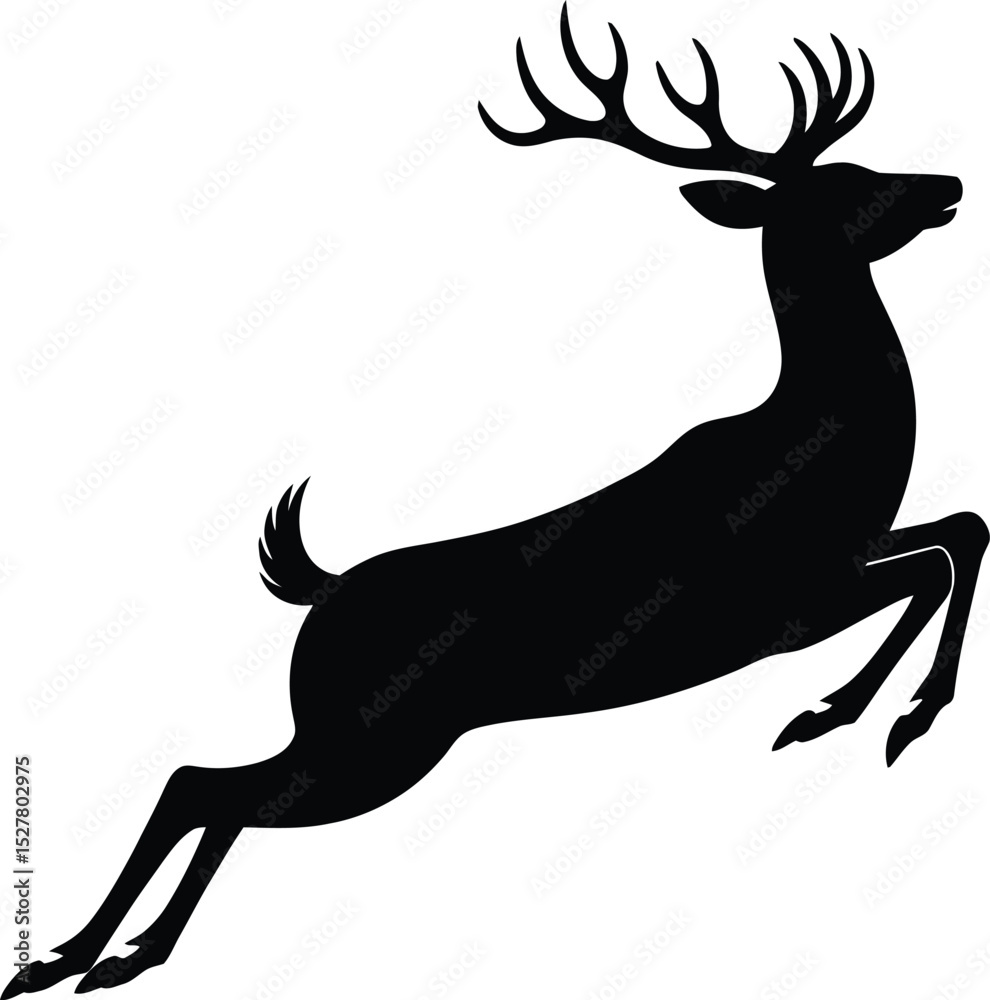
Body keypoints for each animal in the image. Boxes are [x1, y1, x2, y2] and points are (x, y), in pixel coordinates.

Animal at [6, 4, 986, 995]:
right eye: (842, 187)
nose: (947, 182)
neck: (827, 441)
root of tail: (320, 594)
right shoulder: (783, 606)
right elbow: (932, 567)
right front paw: (859, 711)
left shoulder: (849, 554)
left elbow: (960, 531)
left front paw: (873, 711)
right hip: (374, 739)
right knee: (201, 785)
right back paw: (72, 956)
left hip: (352, 739)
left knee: (217, 794)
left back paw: (120, 952)